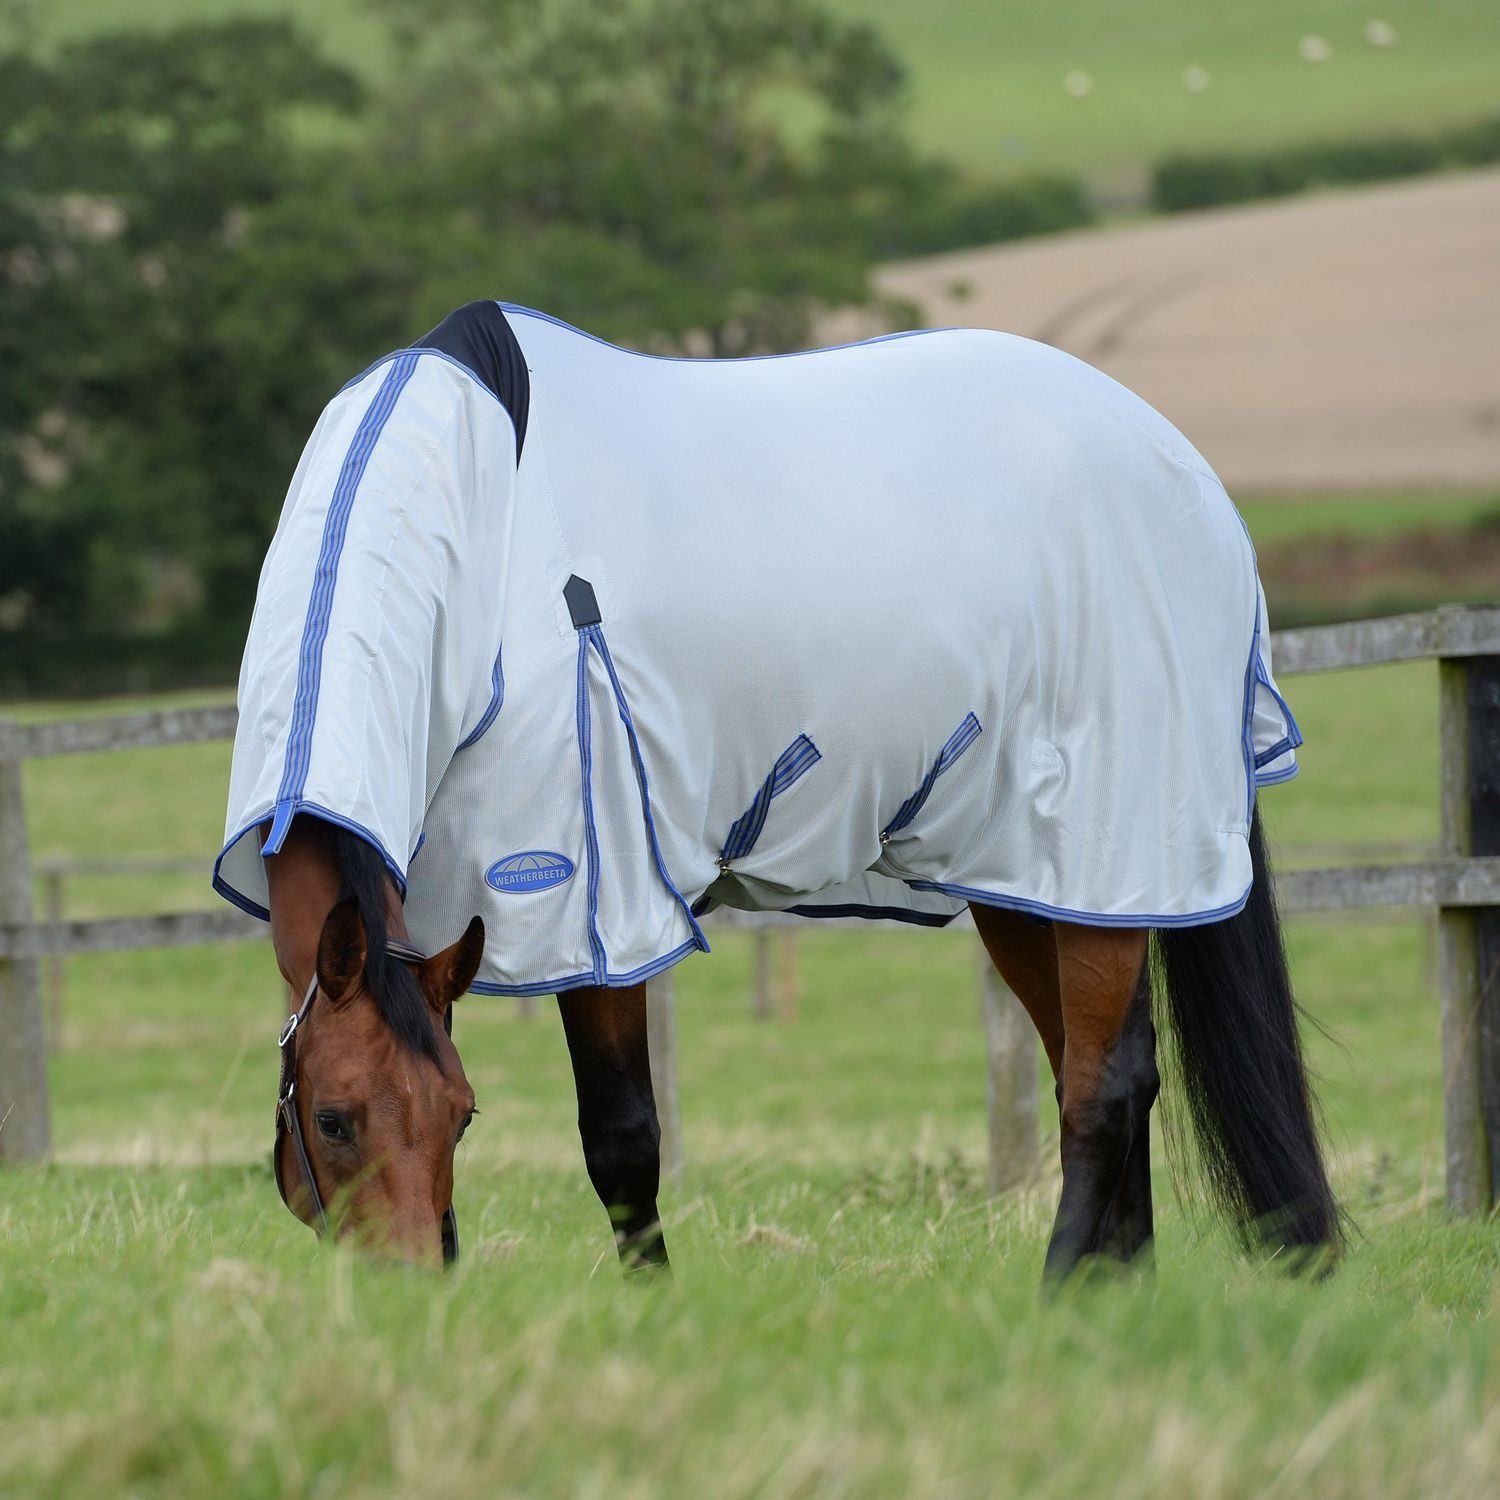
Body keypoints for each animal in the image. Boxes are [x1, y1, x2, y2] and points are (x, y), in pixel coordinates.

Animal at [219, 300, 1341, 1277]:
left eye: (459, 1117)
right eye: (335, 1118)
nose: (408, 1298)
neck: (474, 528)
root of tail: (1192, 480)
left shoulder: (593, 900)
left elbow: (621, 1140)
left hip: (1114, 843)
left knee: (1100, 1088)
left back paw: (1060, 1293)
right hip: (1040, 876)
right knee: (1104, 1064)